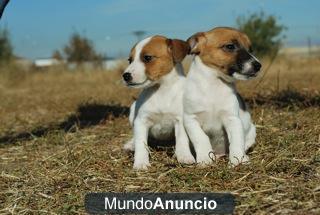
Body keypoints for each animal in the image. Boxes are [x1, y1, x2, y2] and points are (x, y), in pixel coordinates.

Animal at [121, 34, 194, 170]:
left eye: (147, 58)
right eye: (130, 60)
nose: (125, 76)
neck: (161, 90)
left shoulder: (180, 120)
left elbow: (182, 139)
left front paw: (184, 156)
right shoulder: (141, 121)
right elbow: (140, 143)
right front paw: (140, 162)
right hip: (133, 110)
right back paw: (131, 144)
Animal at [184, 27, 262, 166]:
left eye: (250, 49)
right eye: (230, 46)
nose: (258, 65)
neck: (213, 84)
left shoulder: (232, 119)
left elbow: (236, 141)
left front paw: (237, 159)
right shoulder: (190, 119)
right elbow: (200, 138)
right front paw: (205, 158)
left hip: (252, 131)